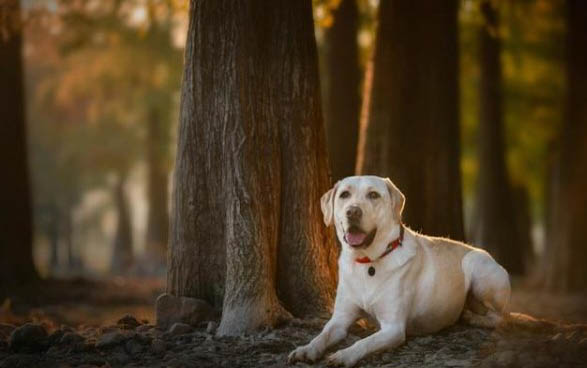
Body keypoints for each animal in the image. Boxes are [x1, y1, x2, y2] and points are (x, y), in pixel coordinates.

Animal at [288, 177, 510, 366]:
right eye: (344, 195)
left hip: (476, 267)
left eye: (373, 195)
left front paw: (344, 355)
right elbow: (322, 334)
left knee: (501, 317)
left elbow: (364, 342)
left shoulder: (393, 328)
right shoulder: (340, 319)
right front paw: (306, 349)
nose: (353, 212)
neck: (368, 262)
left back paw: (474, 318)